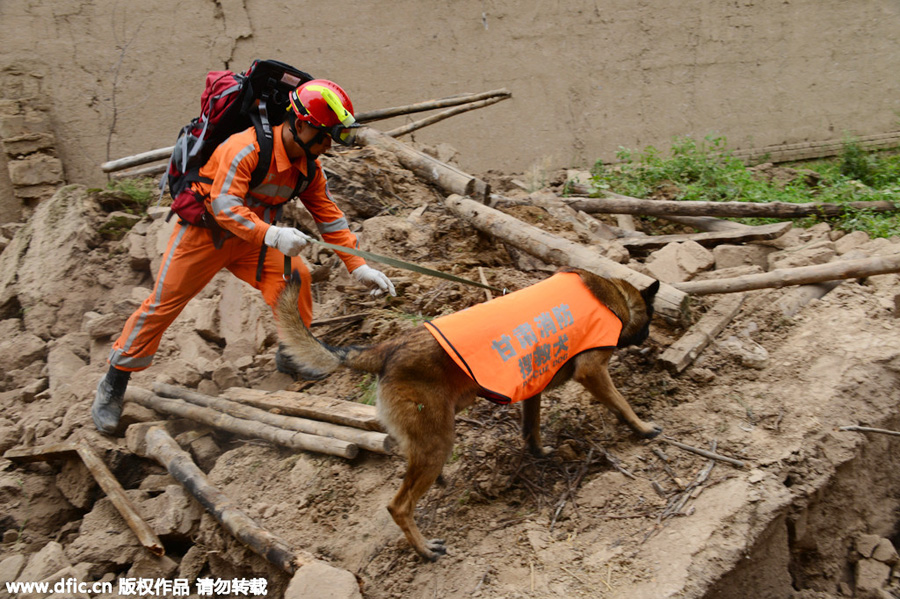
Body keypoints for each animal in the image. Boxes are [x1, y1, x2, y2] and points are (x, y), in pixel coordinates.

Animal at [278, 270, 664, 560]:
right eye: (651, 318)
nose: (649, 338)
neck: (613, 295)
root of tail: (384, 349)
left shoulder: (533, 389)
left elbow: (532, 427)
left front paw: (539, 452)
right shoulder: (593, 372)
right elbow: (623, 404)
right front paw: (643, 428)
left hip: (429, 434)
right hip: (439, 439)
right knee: (399, 506)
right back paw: (425, 550)